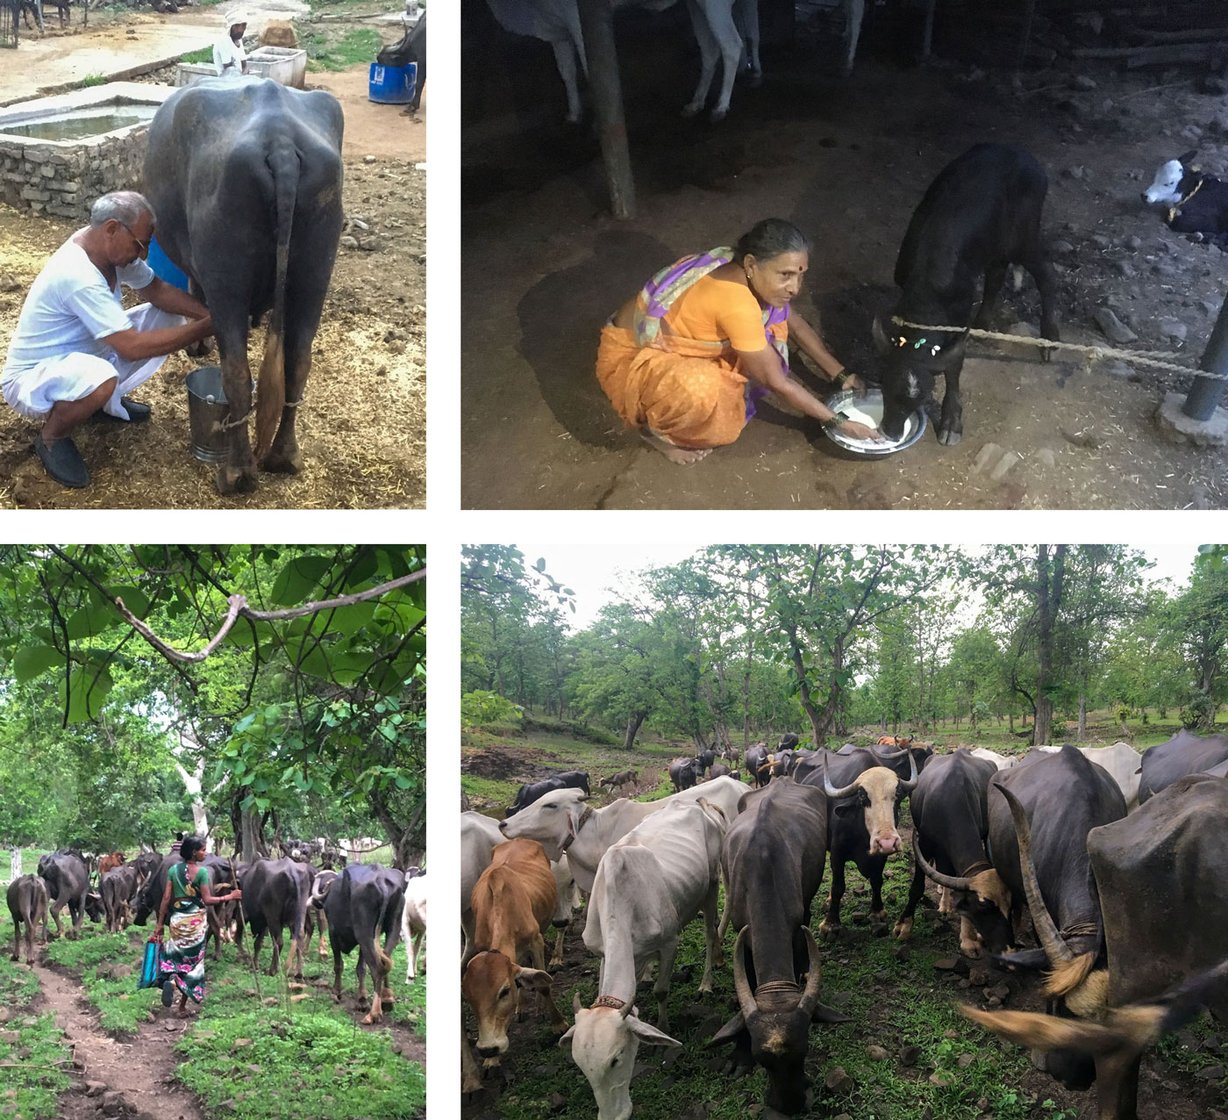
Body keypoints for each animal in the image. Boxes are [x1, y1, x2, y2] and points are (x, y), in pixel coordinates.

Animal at [486, 0, 756, 123]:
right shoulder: (557, 31)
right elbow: (566, 72)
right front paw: (573, 113)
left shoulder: (578, 20)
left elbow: (589, 70)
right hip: (696, 4)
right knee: (709, 49)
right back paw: (695, 103)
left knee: (731, 44)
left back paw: (720, 107)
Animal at [559, 795, 726, 1120]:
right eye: (582, 1066)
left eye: (616, 1058)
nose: (613, 1116)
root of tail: (696, 805)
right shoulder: (601, 951)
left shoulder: (670, 943)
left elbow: (662, 991)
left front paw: (663, 1028)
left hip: (712, 884)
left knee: (711, 932)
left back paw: (706, 983)